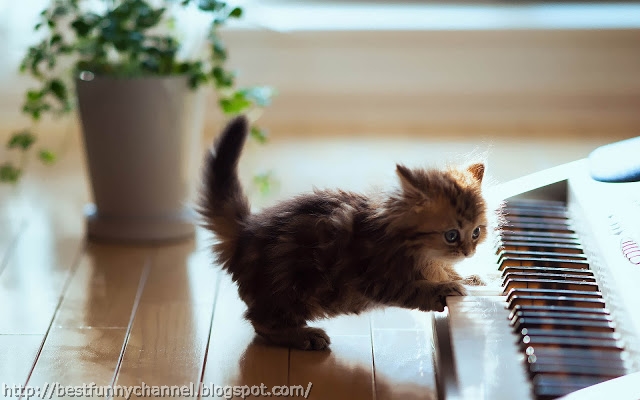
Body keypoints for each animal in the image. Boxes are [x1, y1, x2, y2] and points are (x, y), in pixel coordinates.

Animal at [198, 115, 488, 350]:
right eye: (452, 235)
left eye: (476, 232)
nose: (469, 252)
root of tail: (246, 231)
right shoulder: (375, 276)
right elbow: (413, 290)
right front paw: (442, 289)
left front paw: (469, 279)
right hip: (288, 288)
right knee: (261, 324)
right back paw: (303, 336)